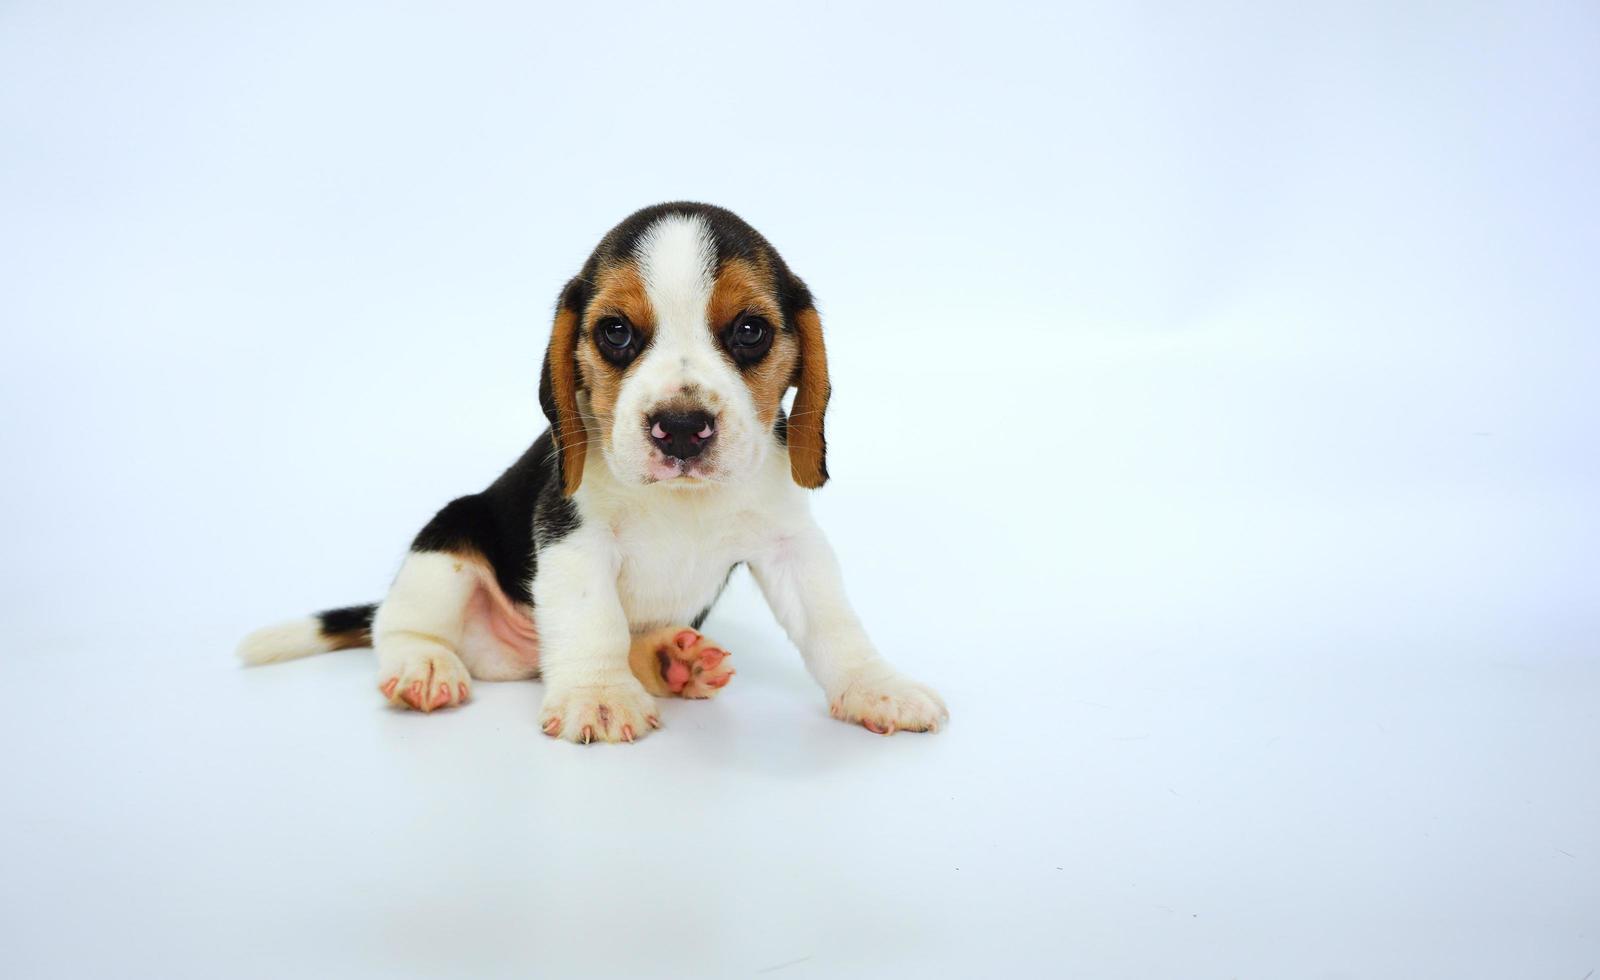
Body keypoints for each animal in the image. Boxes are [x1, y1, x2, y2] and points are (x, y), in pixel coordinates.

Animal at [236, 204, 947, 743]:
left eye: (750, 331)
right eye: (616, 332)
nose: (681, 427)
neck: (683, 501)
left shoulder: (792, 545)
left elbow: (834, 624)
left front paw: (877, 687)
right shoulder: (573, 539)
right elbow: (592, 619)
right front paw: (599, 696)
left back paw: (672, 661)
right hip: (447, 545)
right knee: (399, 624)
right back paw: (426, 667)